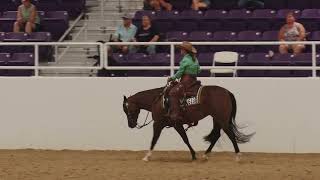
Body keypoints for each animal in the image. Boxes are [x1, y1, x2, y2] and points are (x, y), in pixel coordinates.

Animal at [123, 84, 255, 162]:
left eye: (127, 109)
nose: (131, 124)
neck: (157, 101)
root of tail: (227, 92)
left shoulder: (159, 124)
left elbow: (154, 140)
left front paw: (147, 156)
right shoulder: (176, 124)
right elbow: (185, 139)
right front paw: (193, 155)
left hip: (222, 119)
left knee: (230, 134)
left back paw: (237, 155)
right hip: (216, 119)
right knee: (217, 135)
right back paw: (206, 155)